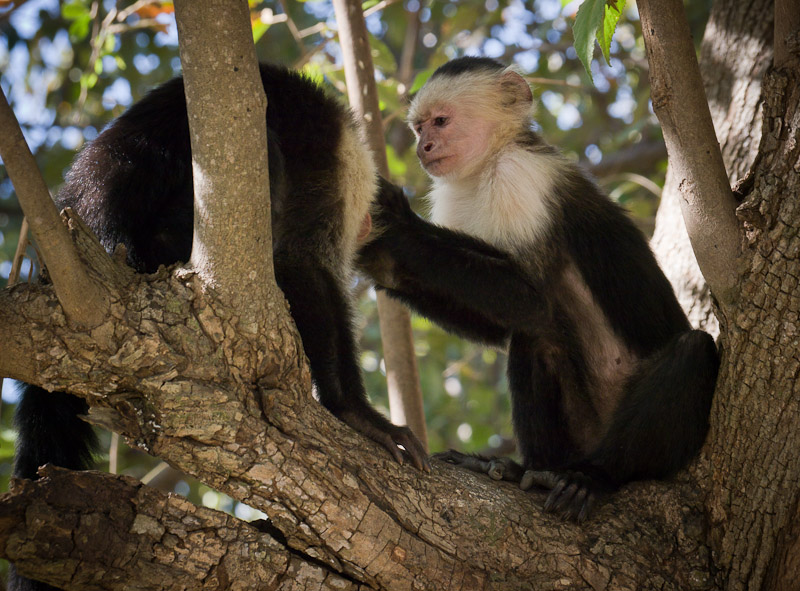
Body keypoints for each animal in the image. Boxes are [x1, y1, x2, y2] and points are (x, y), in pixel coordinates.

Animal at [358, 57, 720, 524]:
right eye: (419, 128)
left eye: (440, 122)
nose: (424, 147)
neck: (490, 161)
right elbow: (502, 323)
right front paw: (377, 257)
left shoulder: (521, 178)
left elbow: (528, 298)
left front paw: (394, 219)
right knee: (537, 340)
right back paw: (529, 471)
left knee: (692, 352)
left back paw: (592, 478)